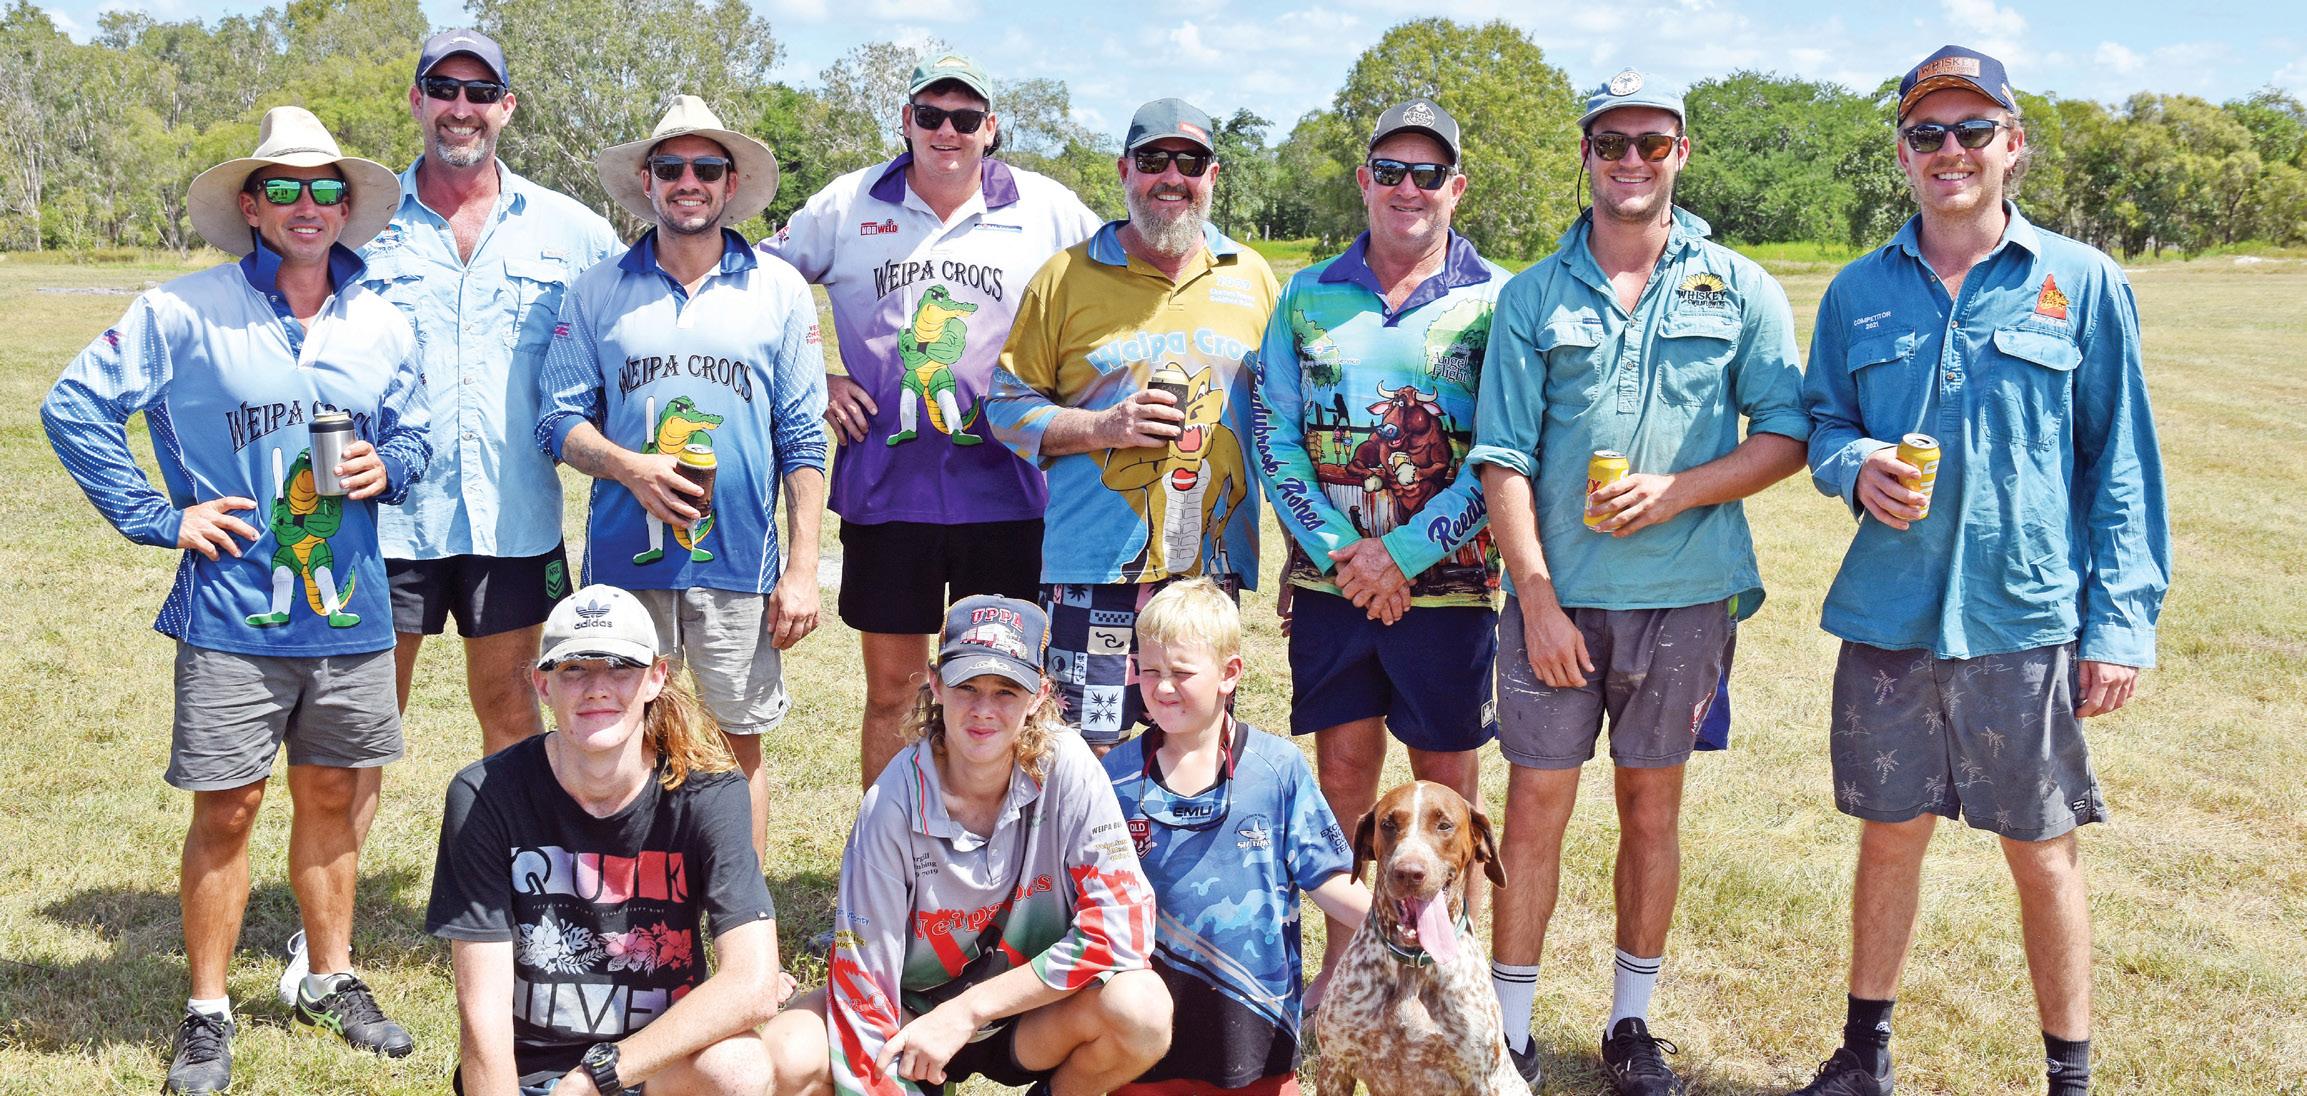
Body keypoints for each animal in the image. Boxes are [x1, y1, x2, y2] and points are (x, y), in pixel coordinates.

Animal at [1313, 780, 1523, 1096]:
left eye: (1444, 825)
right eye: (1388, 824)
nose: (1409, 873)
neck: (1413, 964)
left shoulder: (1483, 1080)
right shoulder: (1336, 1064)